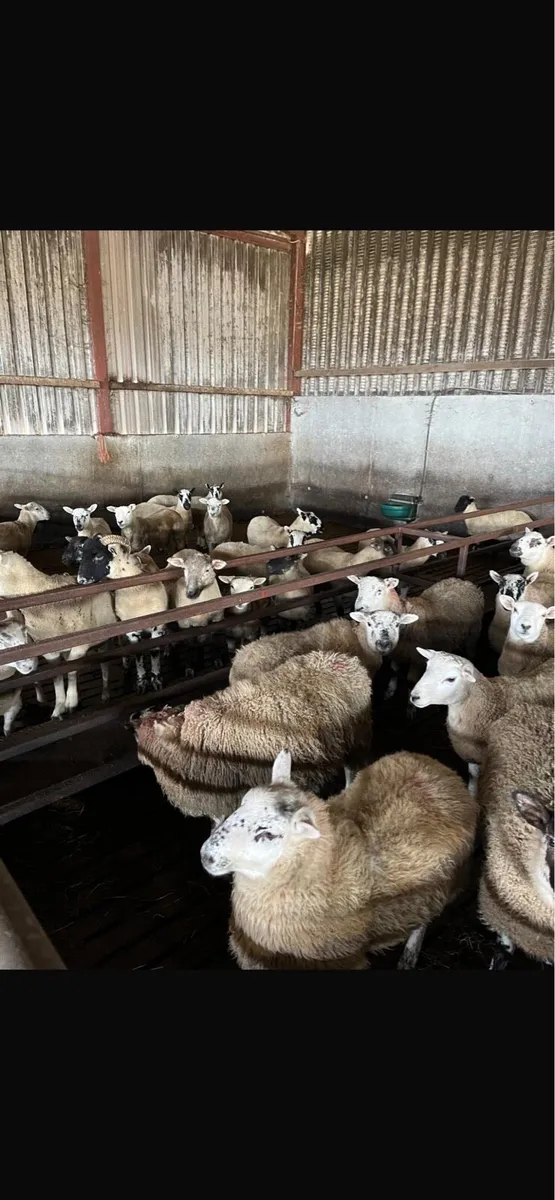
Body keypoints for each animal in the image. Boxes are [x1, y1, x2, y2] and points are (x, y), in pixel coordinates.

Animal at [0, 551, 115, 719]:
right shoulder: (50, 651)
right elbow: (57, 676)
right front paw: (59, 707)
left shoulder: (81, 644)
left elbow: (71, 670)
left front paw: (71, 702)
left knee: (105, 664)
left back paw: (106, 693)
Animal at [77, 535, 169, 693]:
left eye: (101, 555)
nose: (80, 579)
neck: (137, 592)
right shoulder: (131, 630)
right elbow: (138, 653)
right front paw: (141, 682)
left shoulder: (158, 625)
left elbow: (154, 651)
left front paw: (156, 680)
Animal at [135, 649, 374, 823]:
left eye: (147, 727)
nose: (133, 723)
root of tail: (346, 660)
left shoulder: (225, 795)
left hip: (356, 737)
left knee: (352, 770)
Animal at [200, 747, 478, 970]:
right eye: (243, 801)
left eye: (267, 834)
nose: (206, 856)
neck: (328, 867)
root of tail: (442, 772)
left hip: (439, 888)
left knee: (423, 922)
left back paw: (409, 955)